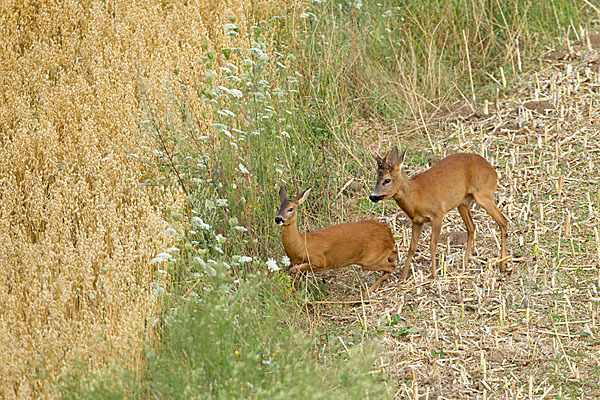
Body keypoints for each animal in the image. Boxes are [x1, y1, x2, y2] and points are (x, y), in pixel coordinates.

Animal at [368, 147, 508, 282]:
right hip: (463, 203)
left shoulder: (437, 215)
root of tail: (494, 172)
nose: (372, 196)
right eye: (376, 178)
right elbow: (412, 247)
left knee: (503, 221)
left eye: (387, 180)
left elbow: (433, 245)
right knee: (472, 227)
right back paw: (465, 264)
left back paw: (502, 266)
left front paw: (434, 275)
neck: (416, 196)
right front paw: (402, 278)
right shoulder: (417, 221)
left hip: (484, 194)